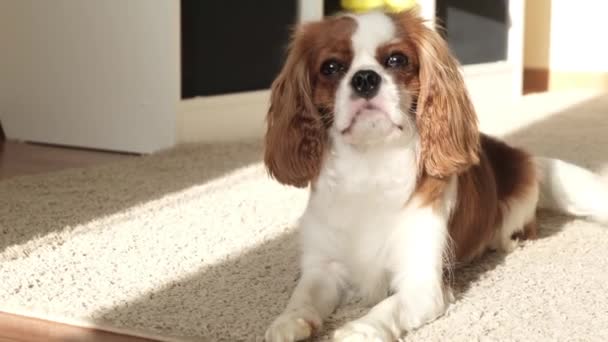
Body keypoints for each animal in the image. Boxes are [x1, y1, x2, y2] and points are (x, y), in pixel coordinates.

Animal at [262, 8, 608, 342]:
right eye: (331, 67)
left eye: (397, 60)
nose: (365, 79)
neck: (370, 164)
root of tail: (519, 155)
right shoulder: (323, 267)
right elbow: (304, 295)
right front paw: (288, 321)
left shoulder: (422, 285)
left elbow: (388, 308)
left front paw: (358, 330)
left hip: (519, 204)